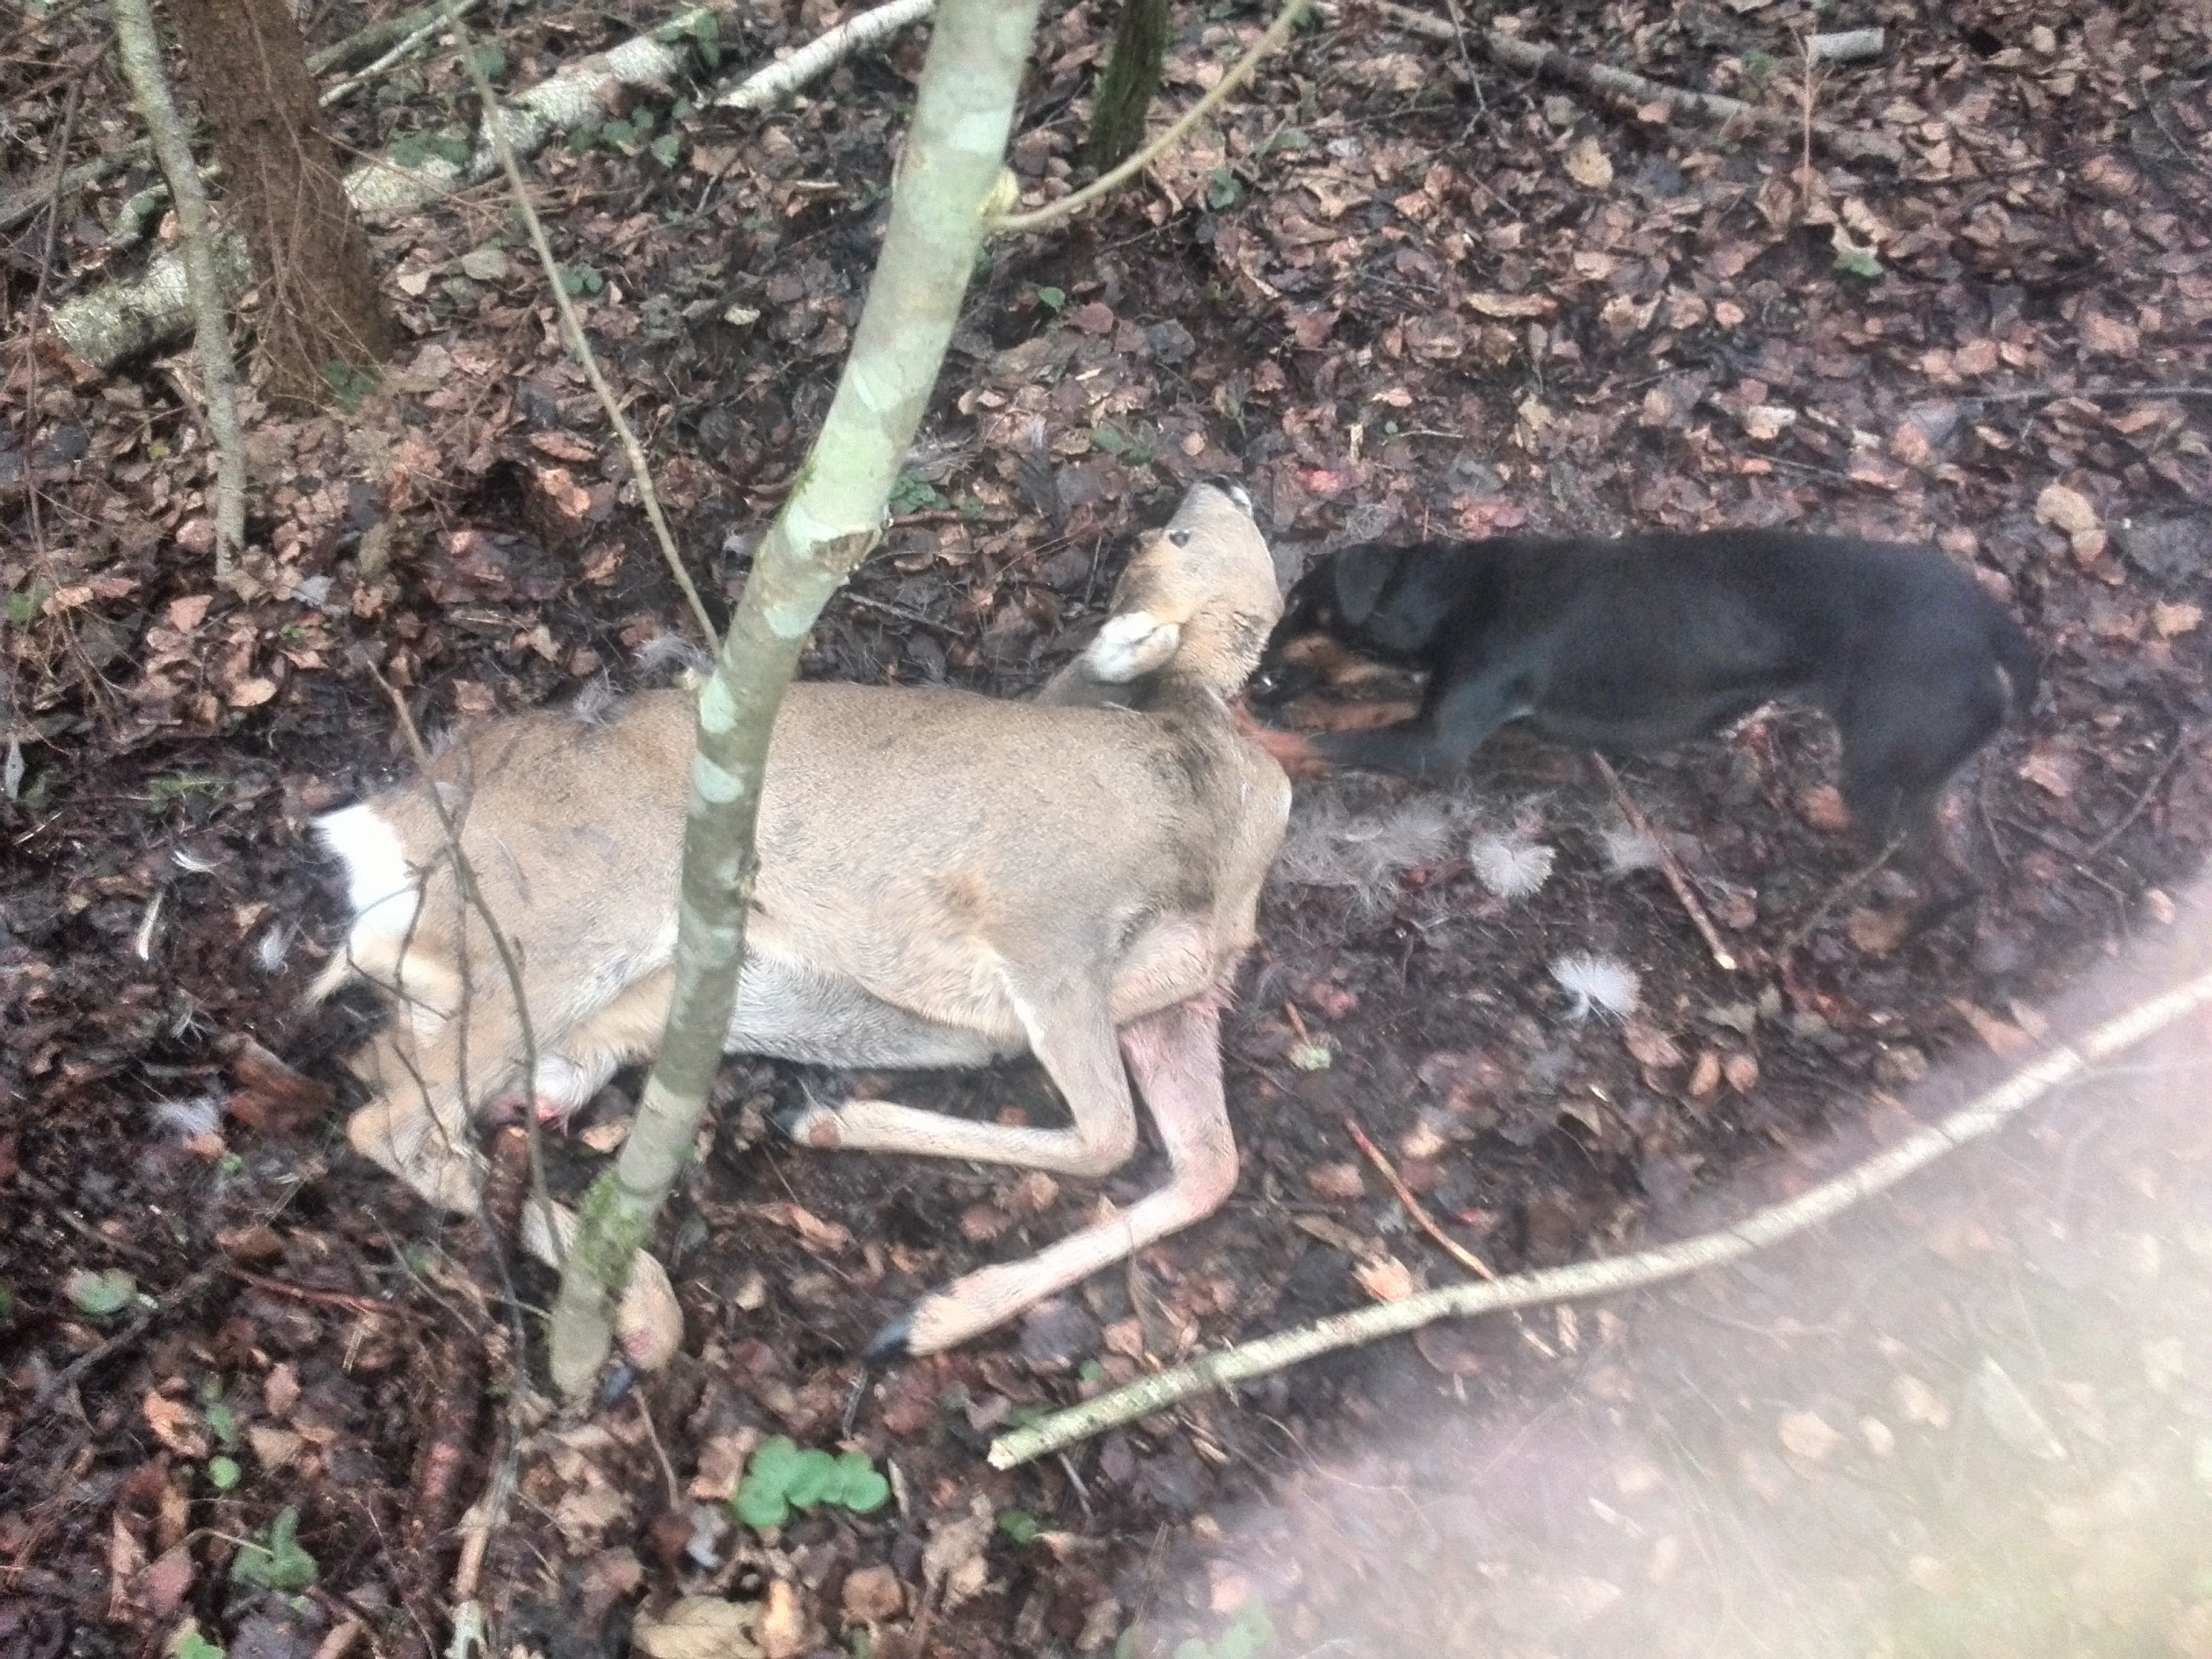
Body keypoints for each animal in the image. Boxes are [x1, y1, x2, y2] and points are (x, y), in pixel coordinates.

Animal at [308, 481, 1291, 1369]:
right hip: (561, 926)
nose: (1219, 482)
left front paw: (922, 1306)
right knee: (389, 1123)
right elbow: (1108, 1135)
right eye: (1169, 535)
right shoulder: (1044, 916)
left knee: (394, 1081)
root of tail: (386, 829)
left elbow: (1207, 1163)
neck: (1214, 777)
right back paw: (647, 1304)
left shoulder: (1180, 984)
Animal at [1247, 530, 2038, 894]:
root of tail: (1994, 626)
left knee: (1955, 882)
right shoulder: (1438, 709)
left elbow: (1317, 743)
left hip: (1886, 762)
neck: (1452, 594)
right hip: (1901, 767)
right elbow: (1359, 714)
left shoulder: (1438, 741)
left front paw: (1250, 733)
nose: (1253, 679)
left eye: (1296, 610)